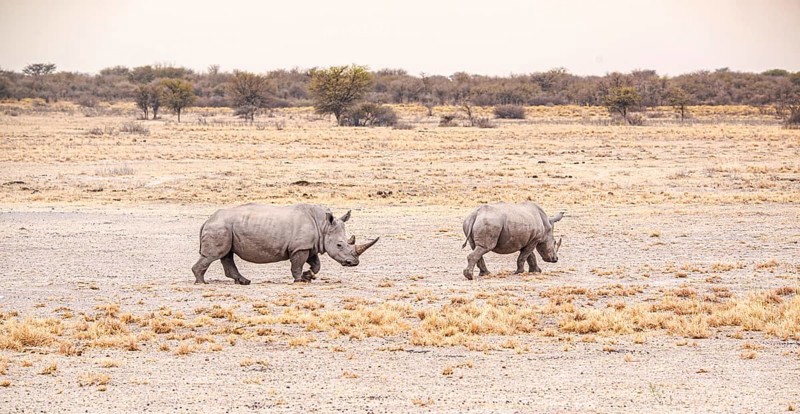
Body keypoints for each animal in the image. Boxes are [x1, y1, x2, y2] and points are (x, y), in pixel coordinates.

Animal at [192, 203, 379, 284]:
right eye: (340, 245)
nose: (354, 263)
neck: (323, 226)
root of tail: (207, 220)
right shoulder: (299, 248)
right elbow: (297, 264)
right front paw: (299, 279)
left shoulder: (310, 246)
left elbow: (316, 264)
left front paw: (309, 276)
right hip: (220, 227)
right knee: (214, 255)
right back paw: (201, 282)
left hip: (226, 228)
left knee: (226, 254)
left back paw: (244, 281)